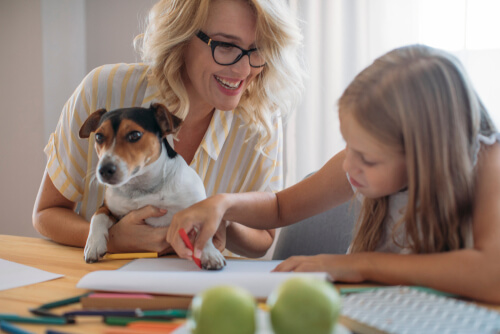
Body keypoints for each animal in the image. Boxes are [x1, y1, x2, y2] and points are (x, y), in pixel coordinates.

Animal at [78, 103, 227, 270]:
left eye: (134, 135)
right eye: (98, 136)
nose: (103, 170)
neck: (141, 188)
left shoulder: (197, 210)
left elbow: (204, 233)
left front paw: (210, 254)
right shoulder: (110, 208)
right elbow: (97, 216)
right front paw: (93, 244)